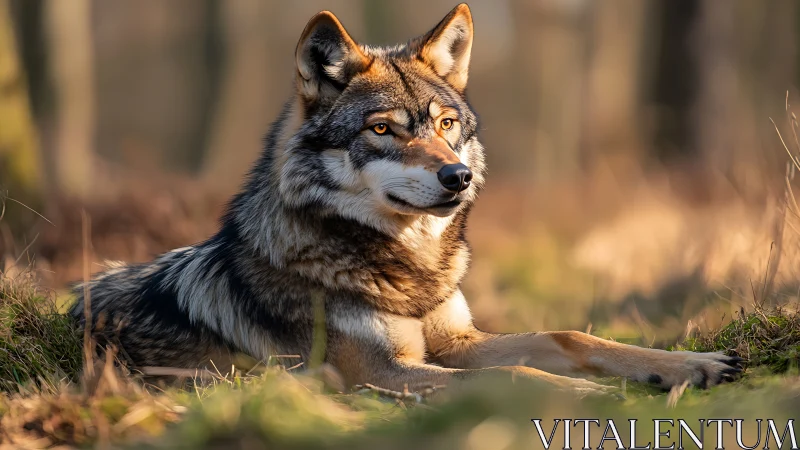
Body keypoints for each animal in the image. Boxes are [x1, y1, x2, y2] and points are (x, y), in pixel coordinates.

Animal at [71, 4, 742, 393]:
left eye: (446, 124)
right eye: (382, 130)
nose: (457, 177)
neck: (408, 269)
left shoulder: (455, 343)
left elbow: (569, 338)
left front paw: (691, 365)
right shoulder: (379, 372)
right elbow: (520, 375)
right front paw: (591, 398)